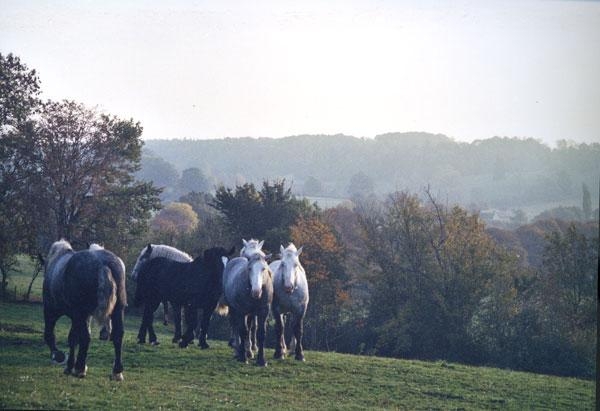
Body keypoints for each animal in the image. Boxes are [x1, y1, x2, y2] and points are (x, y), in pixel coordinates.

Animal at [42, 240, 127, 382]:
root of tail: (103, 263)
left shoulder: (52, 311)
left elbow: (54, 335)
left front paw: (65, 361)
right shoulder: (82, 316)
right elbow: (74, 338)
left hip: (79, 312)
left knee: (85, 337)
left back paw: (80, 368)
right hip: (117, 310)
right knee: (118, 336)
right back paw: (117, 372)